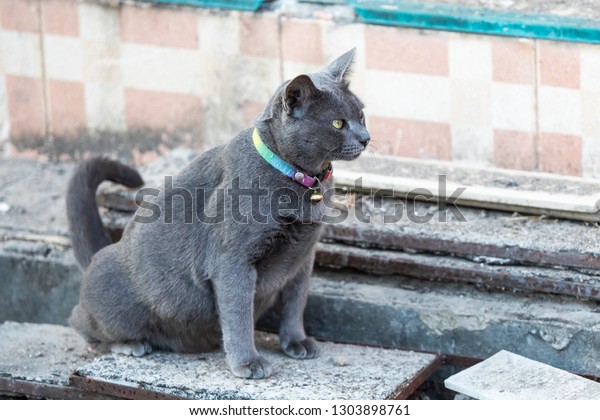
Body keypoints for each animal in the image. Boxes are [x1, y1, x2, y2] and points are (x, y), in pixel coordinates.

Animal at [68, 48, 370, 378]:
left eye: (361, 115)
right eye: (338, 123)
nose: (366, 137)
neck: (303, 180)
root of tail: (99, 255)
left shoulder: (302, 258)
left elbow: (295, 304)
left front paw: (296, 342)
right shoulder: (232, 260)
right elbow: (238, 316)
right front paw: (248, 363)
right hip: (114, 296)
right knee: (80, 322)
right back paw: (130, 344)